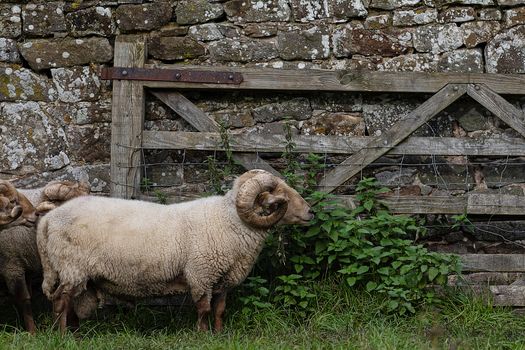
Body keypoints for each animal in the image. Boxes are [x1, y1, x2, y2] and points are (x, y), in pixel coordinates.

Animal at [39, 171, 314, 332]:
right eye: (280, 194)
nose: (310, 211)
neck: (229, 221)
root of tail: (49, 220)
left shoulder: (222, 279)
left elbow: (219, 310)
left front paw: (219, 335)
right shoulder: (201, 274)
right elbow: (203, 309)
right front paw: (203, 336)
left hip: (73, 271)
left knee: (69, 302)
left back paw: (75, 333)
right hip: (72, 267)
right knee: (61, 301)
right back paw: (63, 336)